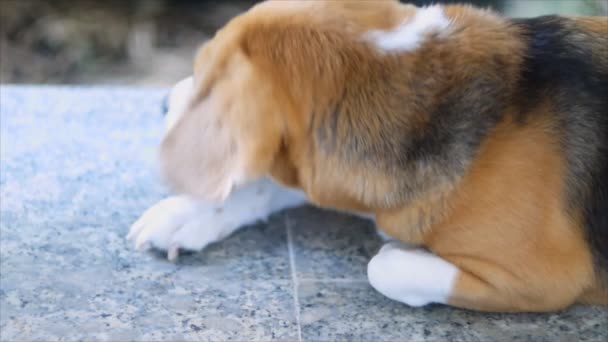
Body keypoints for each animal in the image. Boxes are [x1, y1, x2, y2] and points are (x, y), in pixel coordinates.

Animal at [126, 0, 604, 312]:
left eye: (206, 80)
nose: (162, 104)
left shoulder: (546, 278)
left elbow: (383, 265)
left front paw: (400, 249)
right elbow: (265, 186)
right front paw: (186, 215)